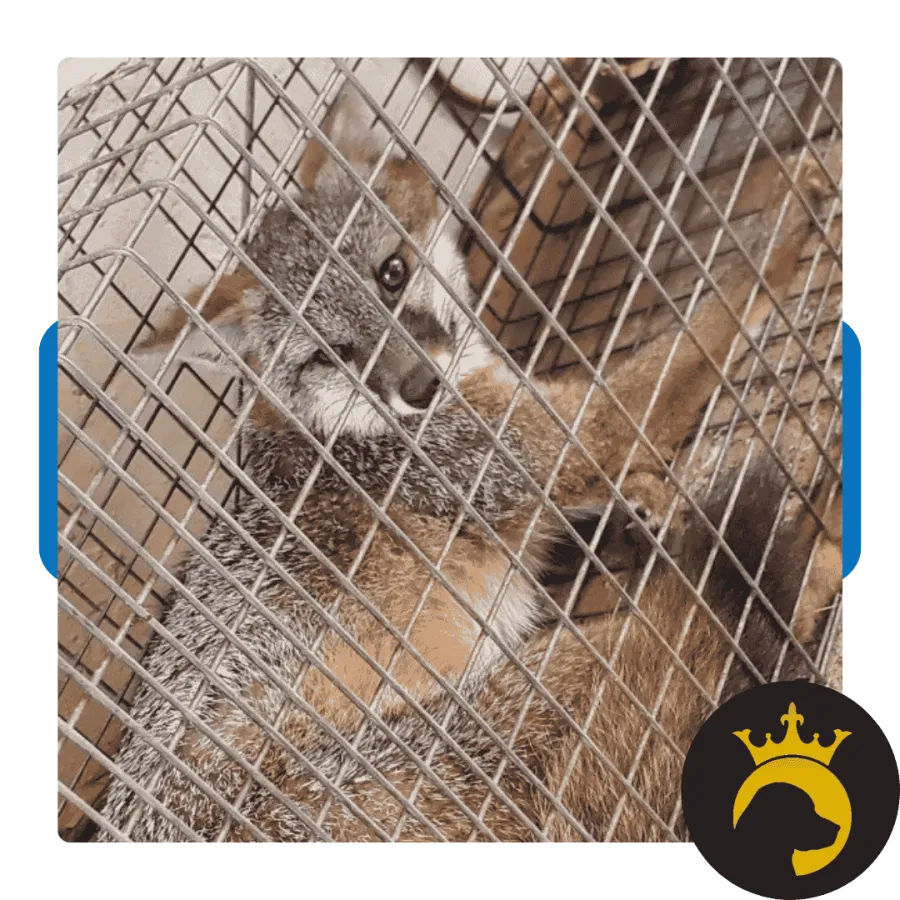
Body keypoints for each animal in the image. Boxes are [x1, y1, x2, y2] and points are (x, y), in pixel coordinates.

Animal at [85, 85, 842, 844]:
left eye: (391, 274)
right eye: (331, 355)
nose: (419, 386)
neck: (342, 430)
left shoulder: (529, 457)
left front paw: (643, 499)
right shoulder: (557, 437)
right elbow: (702, 327)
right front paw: (787, 229)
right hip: (560, 670)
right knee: (736, 623)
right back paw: (821, 532)